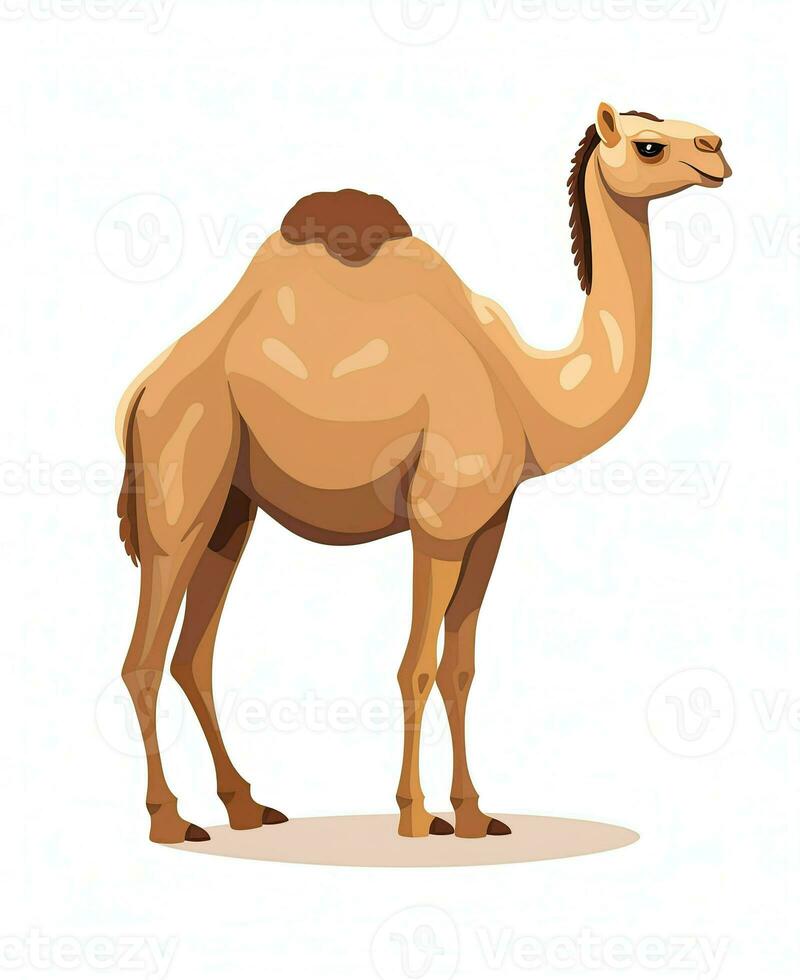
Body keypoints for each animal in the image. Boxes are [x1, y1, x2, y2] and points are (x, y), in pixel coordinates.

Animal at [117, 103, 731, 844]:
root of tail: (143, 389)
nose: (717, 150)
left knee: (192, 656)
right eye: (648, 145)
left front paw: (475, 814)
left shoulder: (490, 524)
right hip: (181, 474)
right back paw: (170, 819)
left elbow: (461, 667)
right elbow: (417, 665)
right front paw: (414, 815)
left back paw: (247, 806)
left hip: (233, 507)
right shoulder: (437, 522)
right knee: (144, 657)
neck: (530, 391)